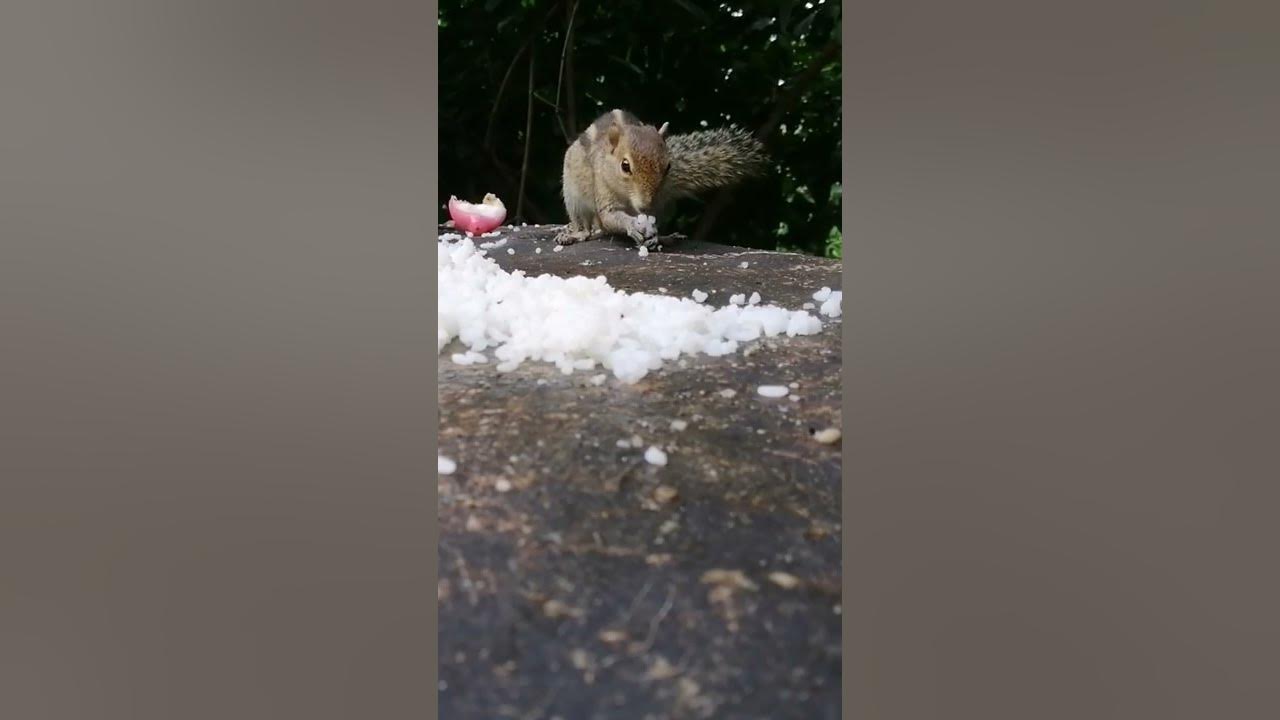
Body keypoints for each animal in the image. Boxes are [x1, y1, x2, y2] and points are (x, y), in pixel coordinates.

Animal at [555, 109, 767, 248]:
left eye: (668, 166)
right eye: (625, 166)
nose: (645, 205)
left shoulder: (658, 203)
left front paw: (654, 234)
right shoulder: (603, 189)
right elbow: (609, 216)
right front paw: (633, 225)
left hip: (667, 204)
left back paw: (666, 237)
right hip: (573, 197)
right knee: (588, 225)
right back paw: (576, 234)